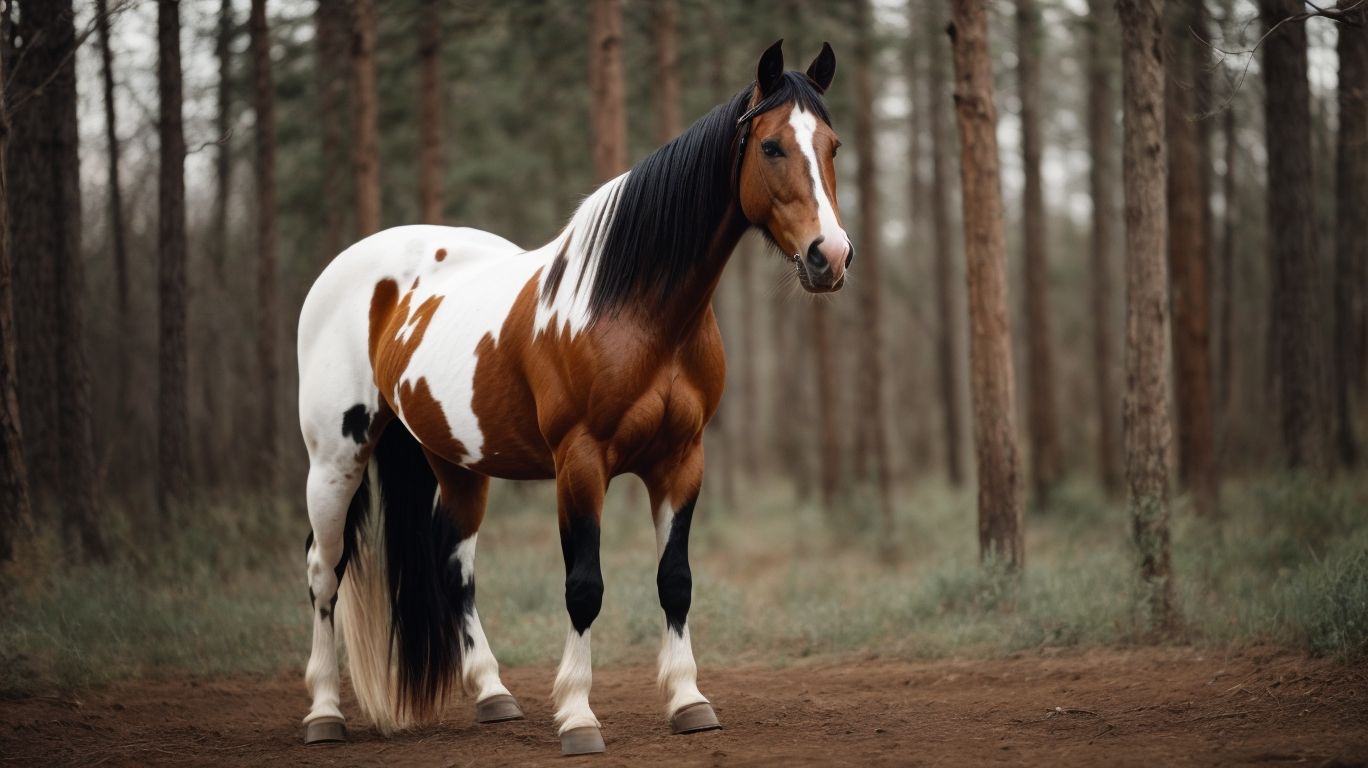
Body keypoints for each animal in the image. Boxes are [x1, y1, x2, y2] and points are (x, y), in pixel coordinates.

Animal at [295, 39, 852, 756]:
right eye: (773, 146)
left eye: (832, 145)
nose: (829, 256)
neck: (633, 310)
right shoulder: (580, 462)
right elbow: (584, 587)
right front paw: (579, 716)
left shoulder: (682, 460)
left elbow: (676, 581)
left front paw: (688, 700)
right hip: (335, 459)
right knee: (325, 569)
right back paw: (324, 712)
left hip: (454, 460)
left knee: (452, 562)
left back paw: (493, 694)